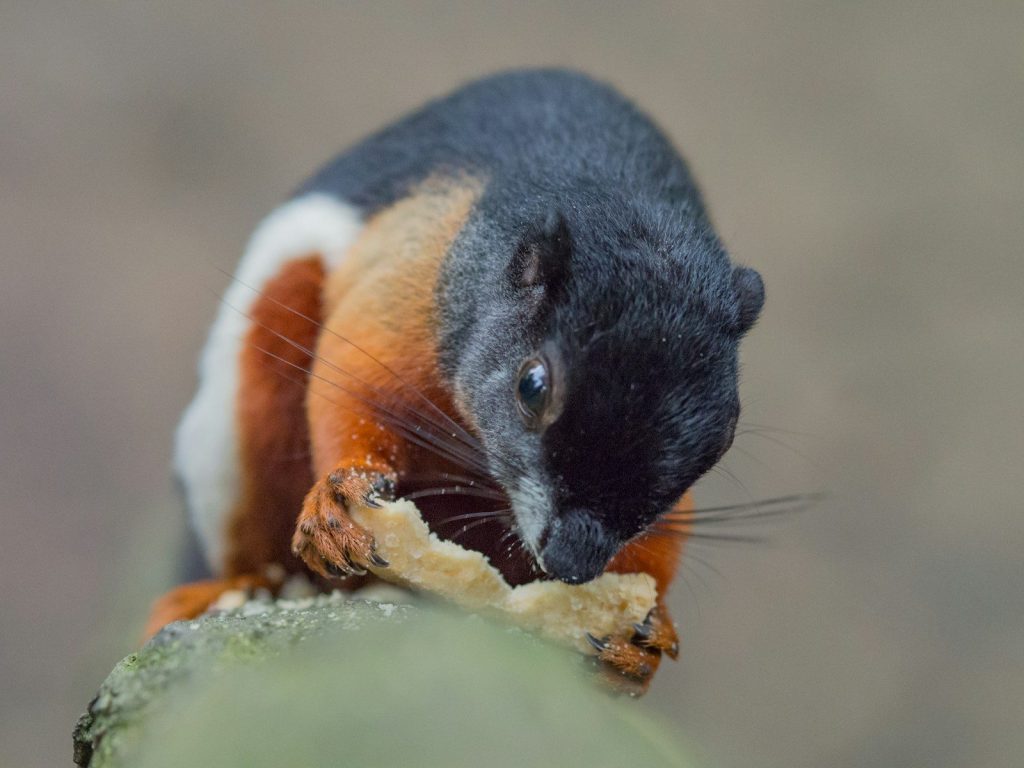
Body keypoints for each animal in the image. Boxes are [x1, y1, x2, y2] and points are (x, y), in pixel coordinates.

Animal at [148, 69, 765, 687]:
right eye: (532, 386)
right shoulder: (402, 295)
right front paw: (338, 499)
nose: (571, 563)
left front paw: (643, 636)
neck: (623, 208)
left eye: (724, 434)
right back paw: (226, 589)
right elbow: (355, 394)